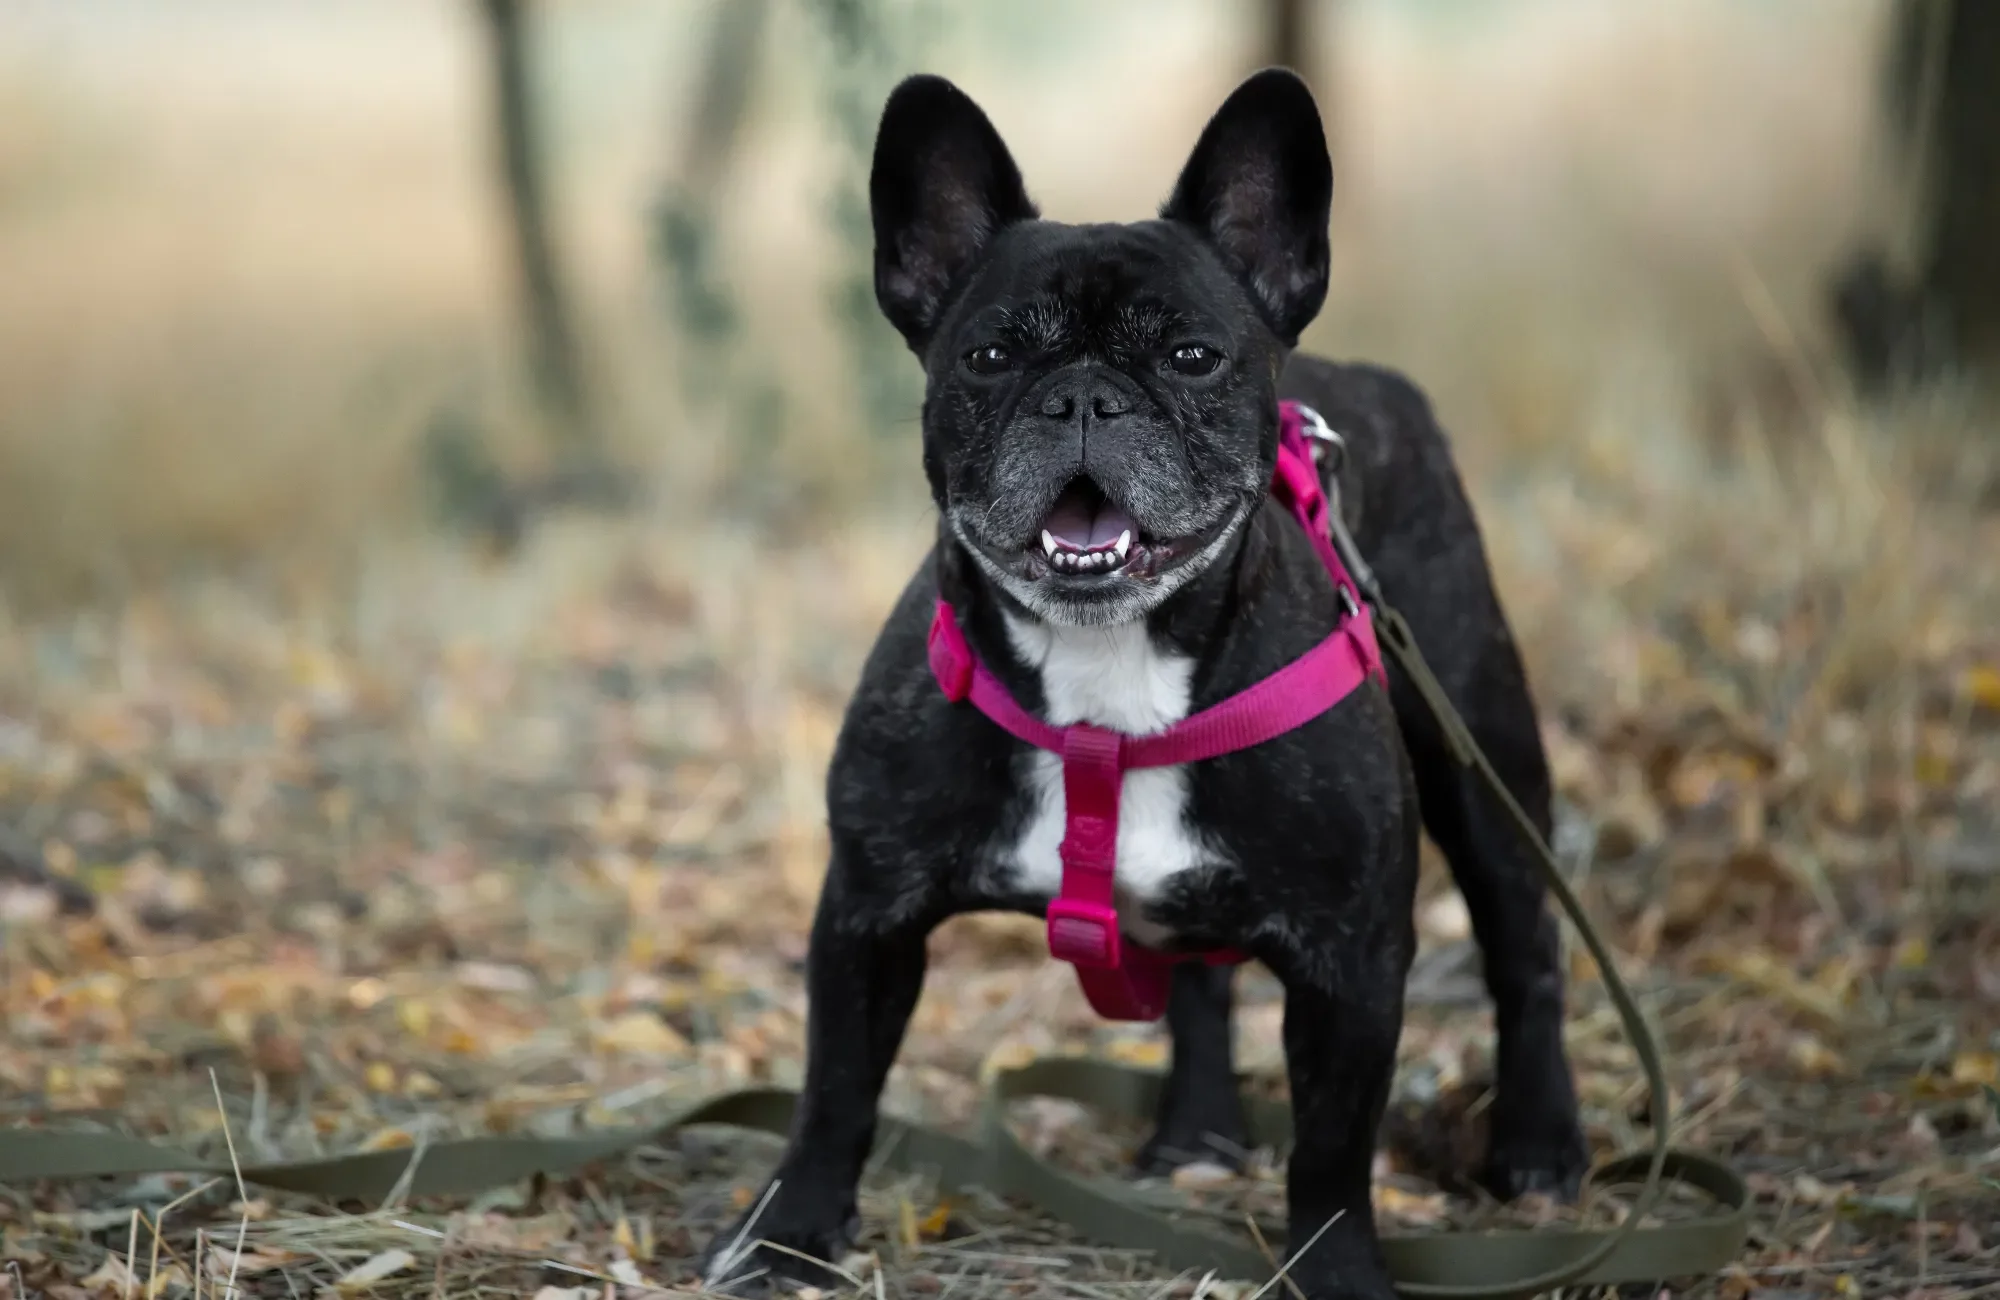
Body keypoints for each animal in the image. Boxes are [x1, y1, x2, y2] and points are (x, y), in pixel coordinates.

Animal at [696, 71, 1584, 1296]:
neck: (1104, 677)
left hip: (1479, 746)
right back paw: (1196, 1134)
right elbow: (834, 1092)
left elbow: (1331, 1148)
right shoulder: (867, 915)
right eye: (988, 360)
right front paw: (787, 1234)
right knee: (1201, 982)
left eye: (1190, 359)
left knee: (1524, 945)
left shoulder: (1353, 959)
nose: (1082, 399)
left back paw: (1540, 1144)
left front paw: (1338, 1271)